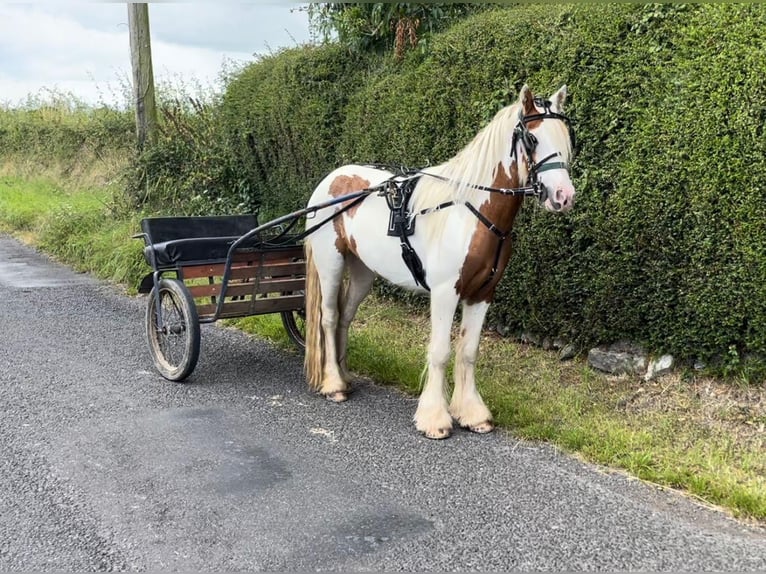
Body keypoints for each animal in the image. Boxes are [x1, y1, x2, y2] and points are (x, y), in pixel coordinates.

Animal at [304, 83, 576, 438]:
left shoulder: (482, 293)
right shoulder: (446, 292)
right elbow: (441, 351)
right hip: (331, 263)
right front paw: (435, 418)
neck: (471, 210)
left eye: (565, 135)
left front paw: (473, 413)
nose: (563, 196)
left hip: (363, 271)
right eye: (532, 138)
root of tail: (331, 179)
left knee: (346, 317)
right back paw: (334, 383)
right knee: (330, 317)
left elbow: (469, 351)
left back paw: (344, 375)